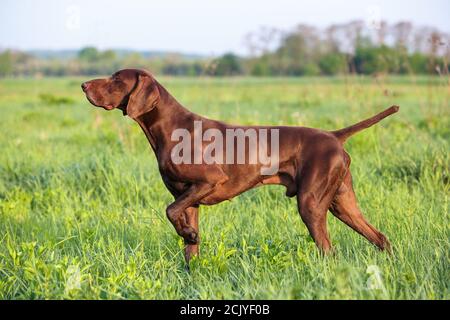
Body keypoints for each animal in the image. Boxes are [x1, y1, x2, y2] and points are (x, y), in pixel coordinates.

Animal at [81, 68, 398, 262]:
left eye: (116, 79)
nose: (83, 85)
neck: (172, 128)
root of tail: (334, 136)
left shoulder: (209, 181)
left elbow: (169, 211)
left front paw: (188, 233)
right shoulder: (189, 200)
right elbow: (188, 244)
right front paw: (190, 250)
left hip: (311, 204)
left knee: (329, 251)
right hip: (342, 204)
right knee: (381, 238)